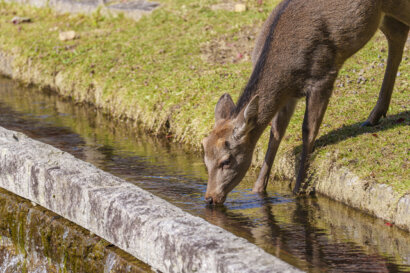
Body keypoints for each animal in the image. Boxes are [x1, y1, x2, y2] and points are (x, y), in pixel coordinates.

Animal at [202, 0, 410, 204]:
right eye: (205, 157)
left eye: (226, 160)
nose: (210, 198)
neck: (286, 73)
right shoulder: (288, 95)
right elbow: (275, 134)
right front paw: (258, 189)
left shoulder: (322, 75)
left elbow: (308, 131)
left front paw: (298, 190)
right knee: (397, 33)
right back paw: (374, 115)